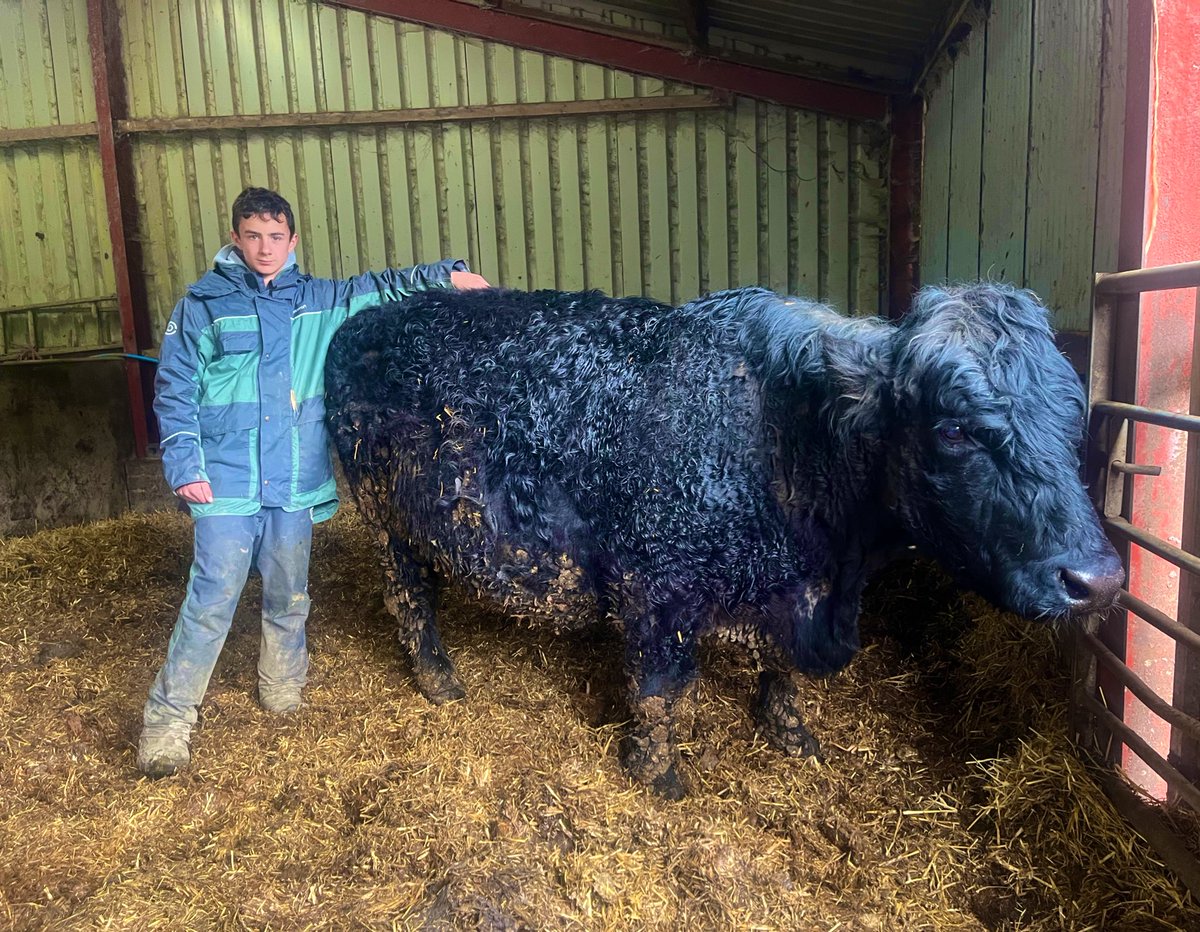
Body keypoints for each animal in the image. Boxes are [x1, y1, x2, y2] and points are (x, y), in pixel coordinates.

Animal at [324, 283, 1123, 797]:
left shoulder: (798, 585)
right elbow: (660, 691)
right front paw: (659, 776)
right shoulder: (655, 587)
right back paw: (438, 677)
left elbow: (783, 672)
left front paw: (790, 732)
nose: (1097, 581)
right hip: (385, 520)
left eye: (1075, 419)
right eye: (954, 428)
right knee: (408, 598)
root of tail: (371, 319)